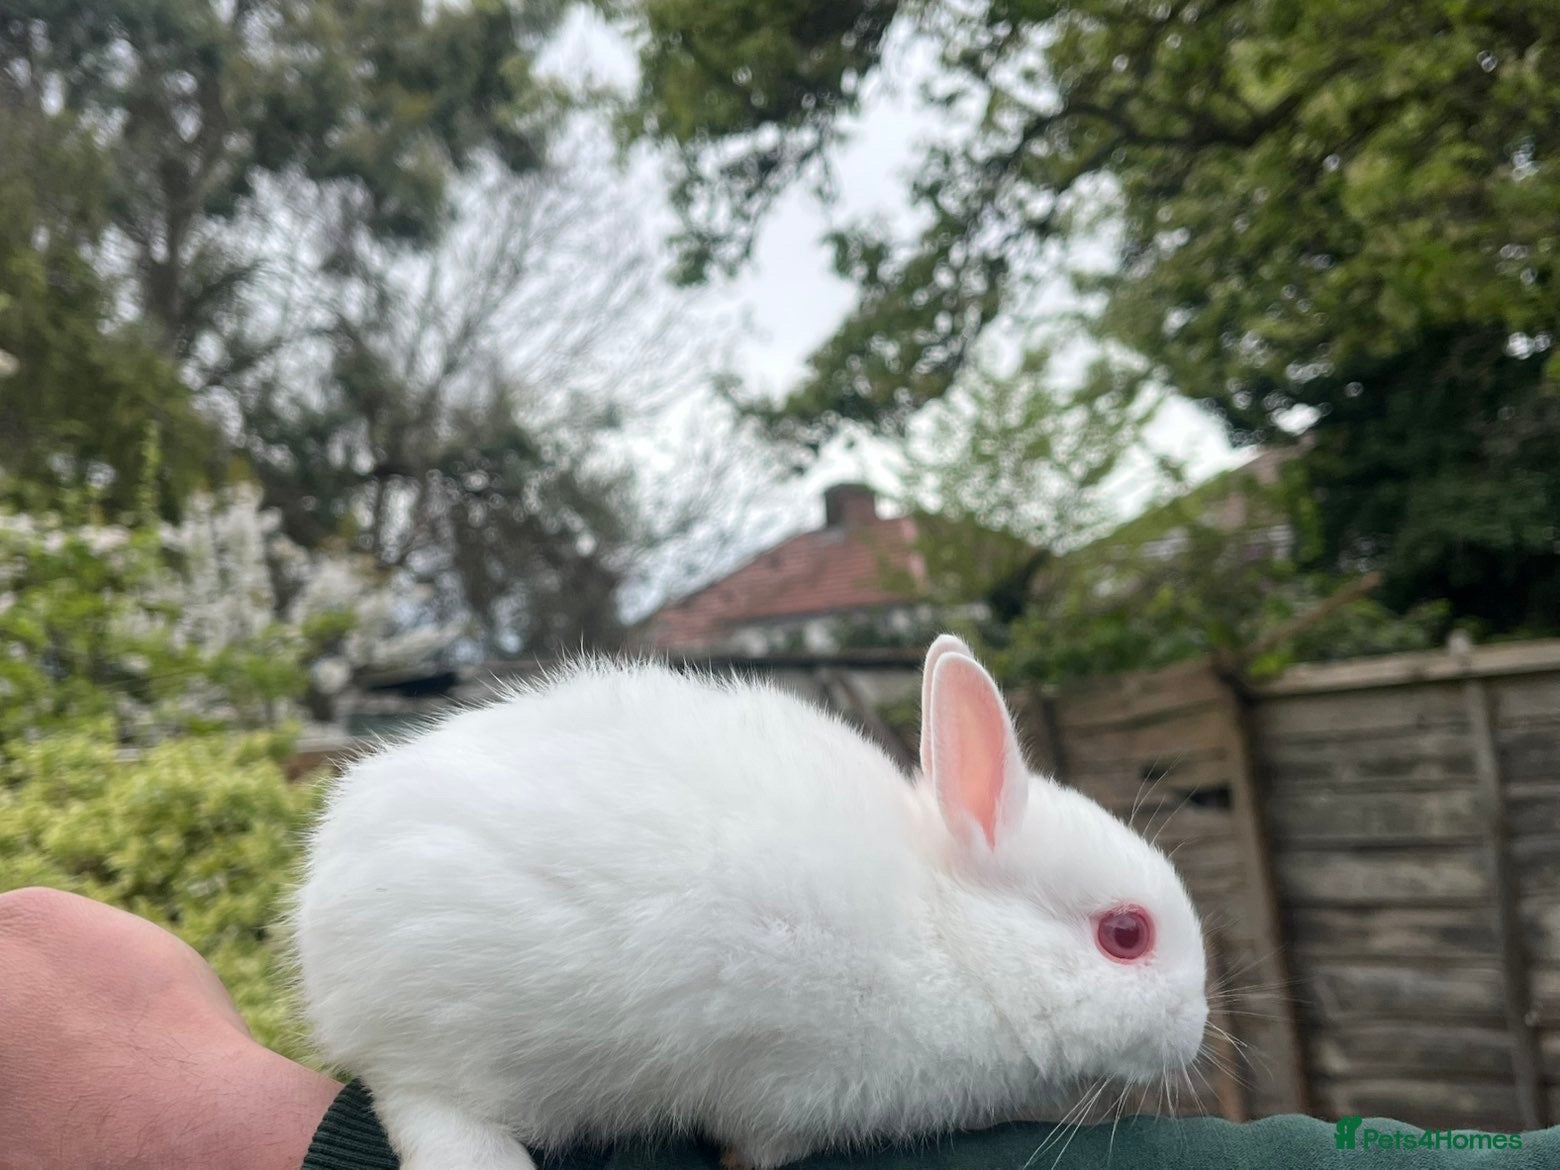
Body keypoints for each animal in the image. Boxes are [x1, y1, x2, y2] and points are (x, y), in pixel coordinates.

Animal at [292, 634, 1208, 1170]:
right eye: (1126, 934)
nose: (1198, 1032)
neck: (951, 937)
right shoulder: (794, 1087)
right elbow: (763, 1144)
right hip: (452, 1041)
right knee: (424, 1106)